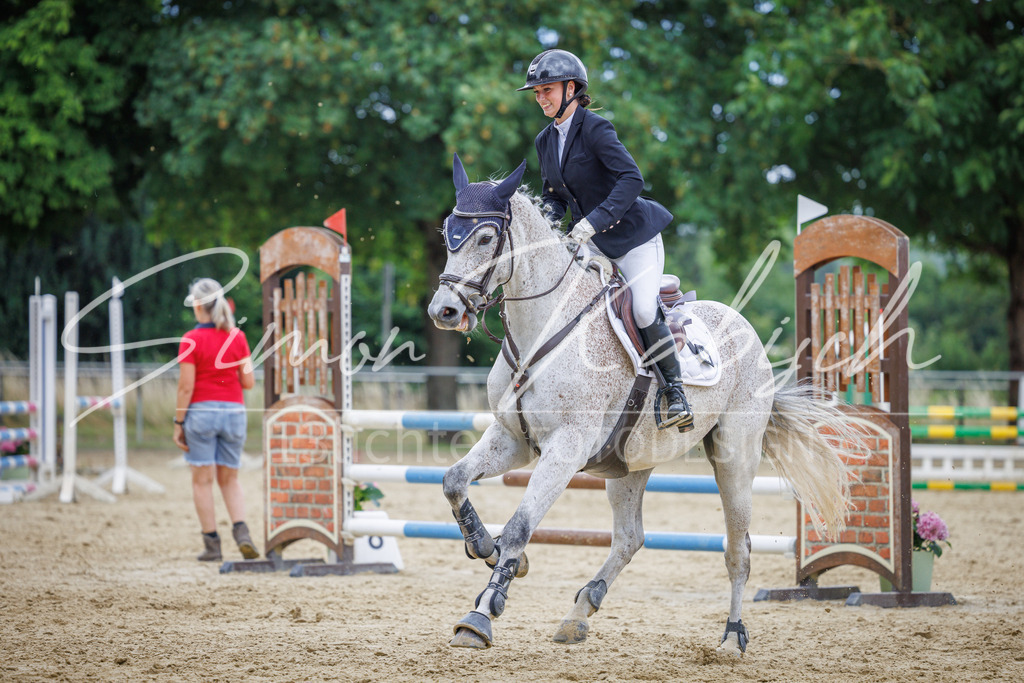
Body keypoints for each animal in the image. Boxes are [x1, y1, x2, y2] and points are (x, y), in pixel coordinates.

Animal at [427, 154, 857, 655]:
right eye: (447, 233)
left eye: (484, 238)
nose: (444, 312)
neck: (545, 325)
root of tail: (744, 326)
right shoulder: (514, 438)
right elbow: (454, 481)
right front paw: (485, 546)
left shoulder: (567, 447)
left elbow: (519, 524)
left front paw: (480, 614)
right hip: (628, 464)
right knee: (631, 538)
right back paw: (579, 613)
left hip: (734, 456)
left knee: (739, 549)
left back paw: (733, 636)